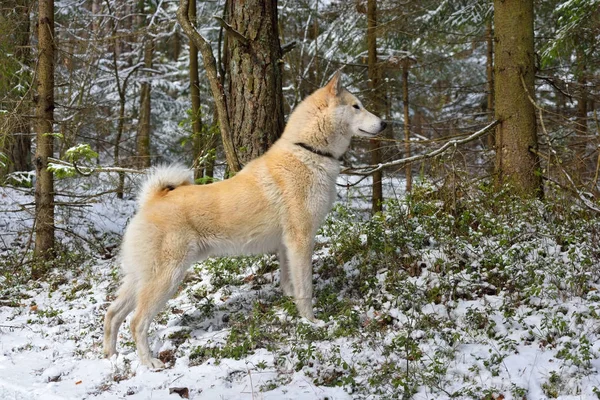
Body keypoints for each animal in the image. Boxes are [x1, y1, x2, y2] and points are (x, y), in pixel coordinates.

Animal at [102, 70, 384, 368]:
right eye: (356, 106)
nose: (385, 123)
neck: (308, 151)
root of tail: (153, 200)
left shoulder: (286, 246)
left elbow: (290, 283)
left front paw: (290, 307)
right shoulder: (301, 240)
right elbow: (305, 289)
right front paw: (311, 322)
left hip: (140, 278)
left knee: (112, 314)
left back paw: (111, 356)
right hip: (166, 277)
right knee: (136, 322)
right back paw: (149, 363)